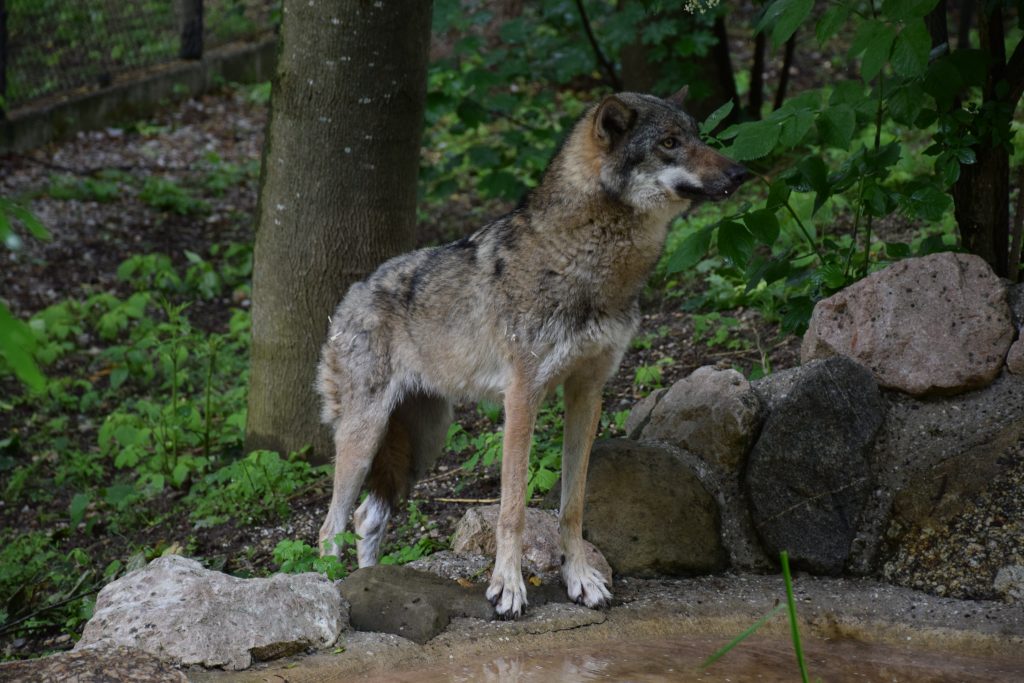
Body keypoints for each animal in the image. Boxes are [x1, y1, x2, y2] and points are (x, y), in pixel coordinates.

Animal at [315, 87, 749, 618]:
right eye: (669, 142)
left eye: (698, 137)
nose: (741, 173)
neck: (590, 263)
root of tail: (349, 297)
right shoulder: (522, 398)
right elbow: (513, 509)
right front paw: (508, 588)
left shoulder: (588, 392)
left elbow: (573, 505)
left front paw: (580, 581)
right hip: (364, 436)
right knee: (330, 526)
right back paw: (331, 592)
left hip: (423, 442)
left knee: (366, 518)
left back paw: (370, 582)